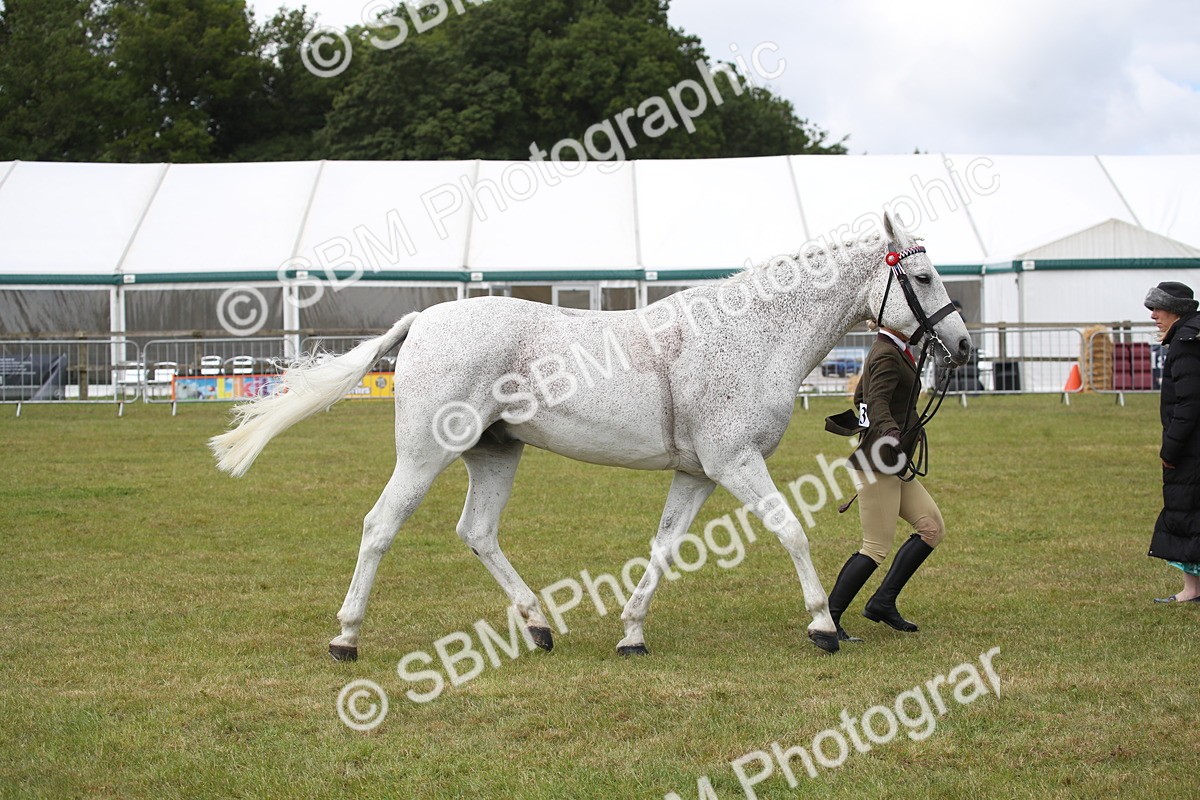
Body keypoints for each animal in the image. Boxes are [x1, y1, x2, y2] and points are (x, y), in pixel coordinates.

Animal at [210, 210, 972, 660]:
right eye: (924, 275)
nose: (962, 344)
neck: (751, 334)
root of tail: (423, 319)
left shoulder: (698, 472)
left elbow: (664, 547)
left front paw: (632, 634)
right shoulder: (736, 463)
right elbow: (791, 532)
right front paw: (821, 626)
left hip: (496, 453)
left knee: (477, 532)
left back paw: (538, 624)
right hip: (425, 454)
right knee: (380, 526)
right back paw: (346, 637)